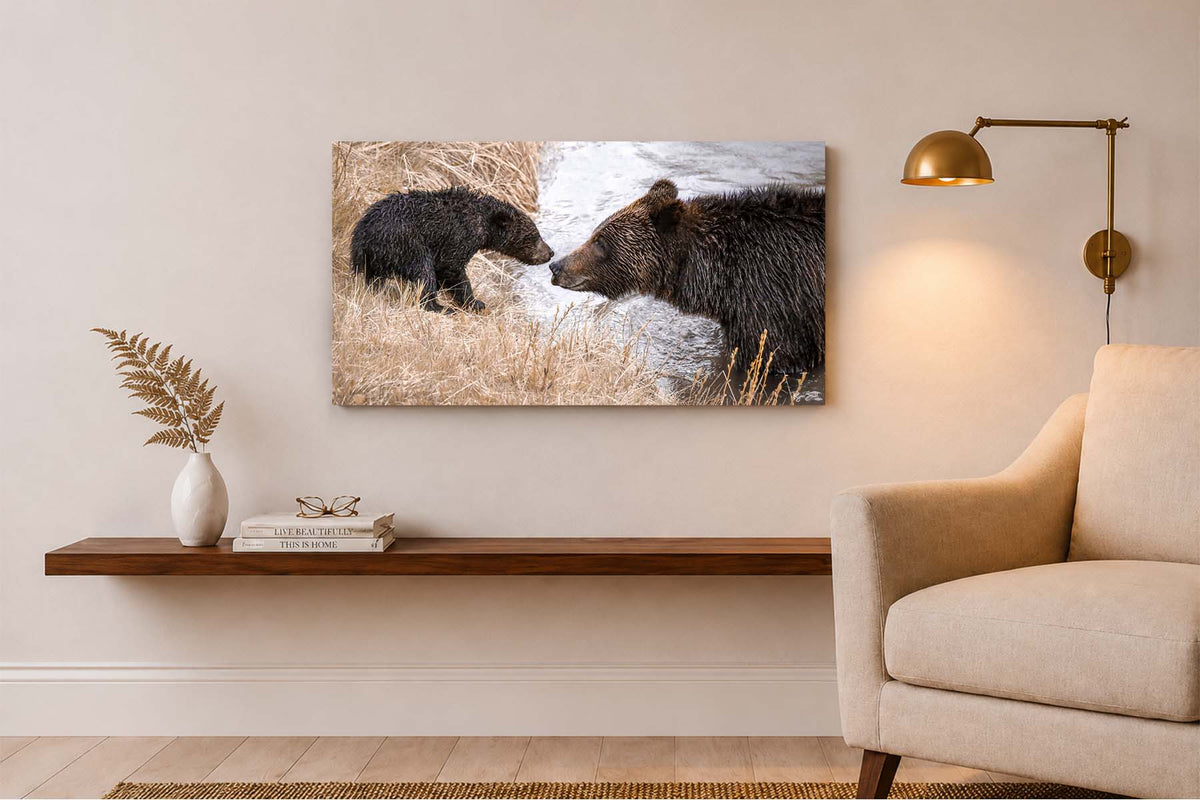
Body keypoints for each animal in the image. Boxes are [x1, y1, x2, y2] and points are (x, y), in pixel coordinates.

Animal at [351, 186, 554, 313]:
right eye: (534, 236)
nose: (550, 253)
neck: (484, 226)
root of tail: (363, 236)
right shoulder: (458, 236)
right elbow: (450, 267)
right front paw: (475, 302)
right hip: (404, 242)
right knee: (422, 271)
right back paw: (440, 307)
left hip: (372, 258)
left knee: (374, 278)